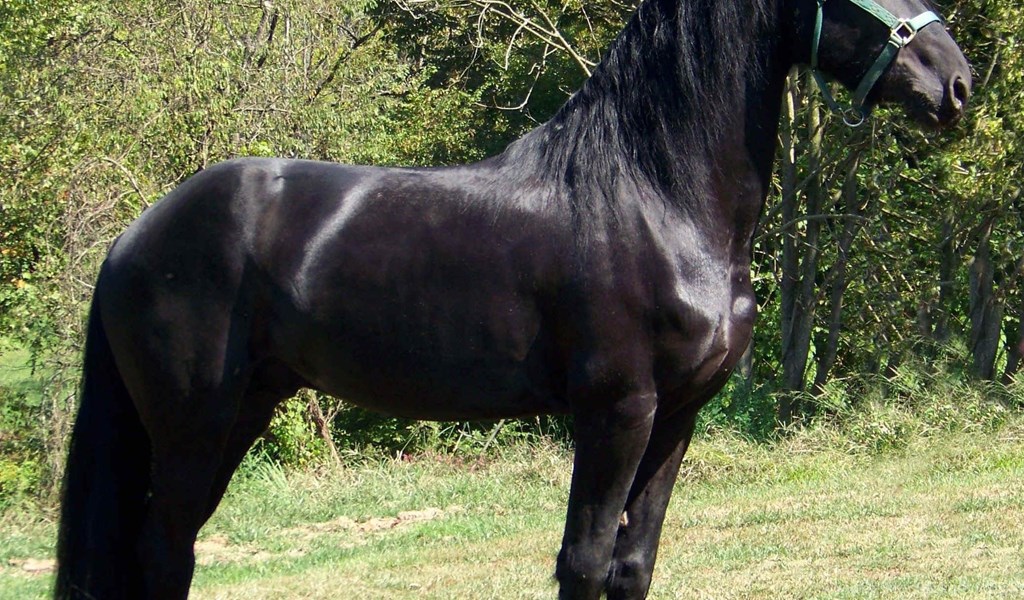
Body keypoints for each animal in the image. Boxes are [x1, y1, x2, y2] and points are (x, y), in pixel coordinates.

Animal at [55, 0, 970, 597]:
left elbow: (632, 566)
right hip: (191, 424)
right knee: (163, 552)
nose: (958, 84)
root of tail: (135, 235)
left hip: (236, 413)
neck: (656, 194)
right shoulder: (616, 412)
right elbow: (584, 560)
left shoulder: (678, 415)